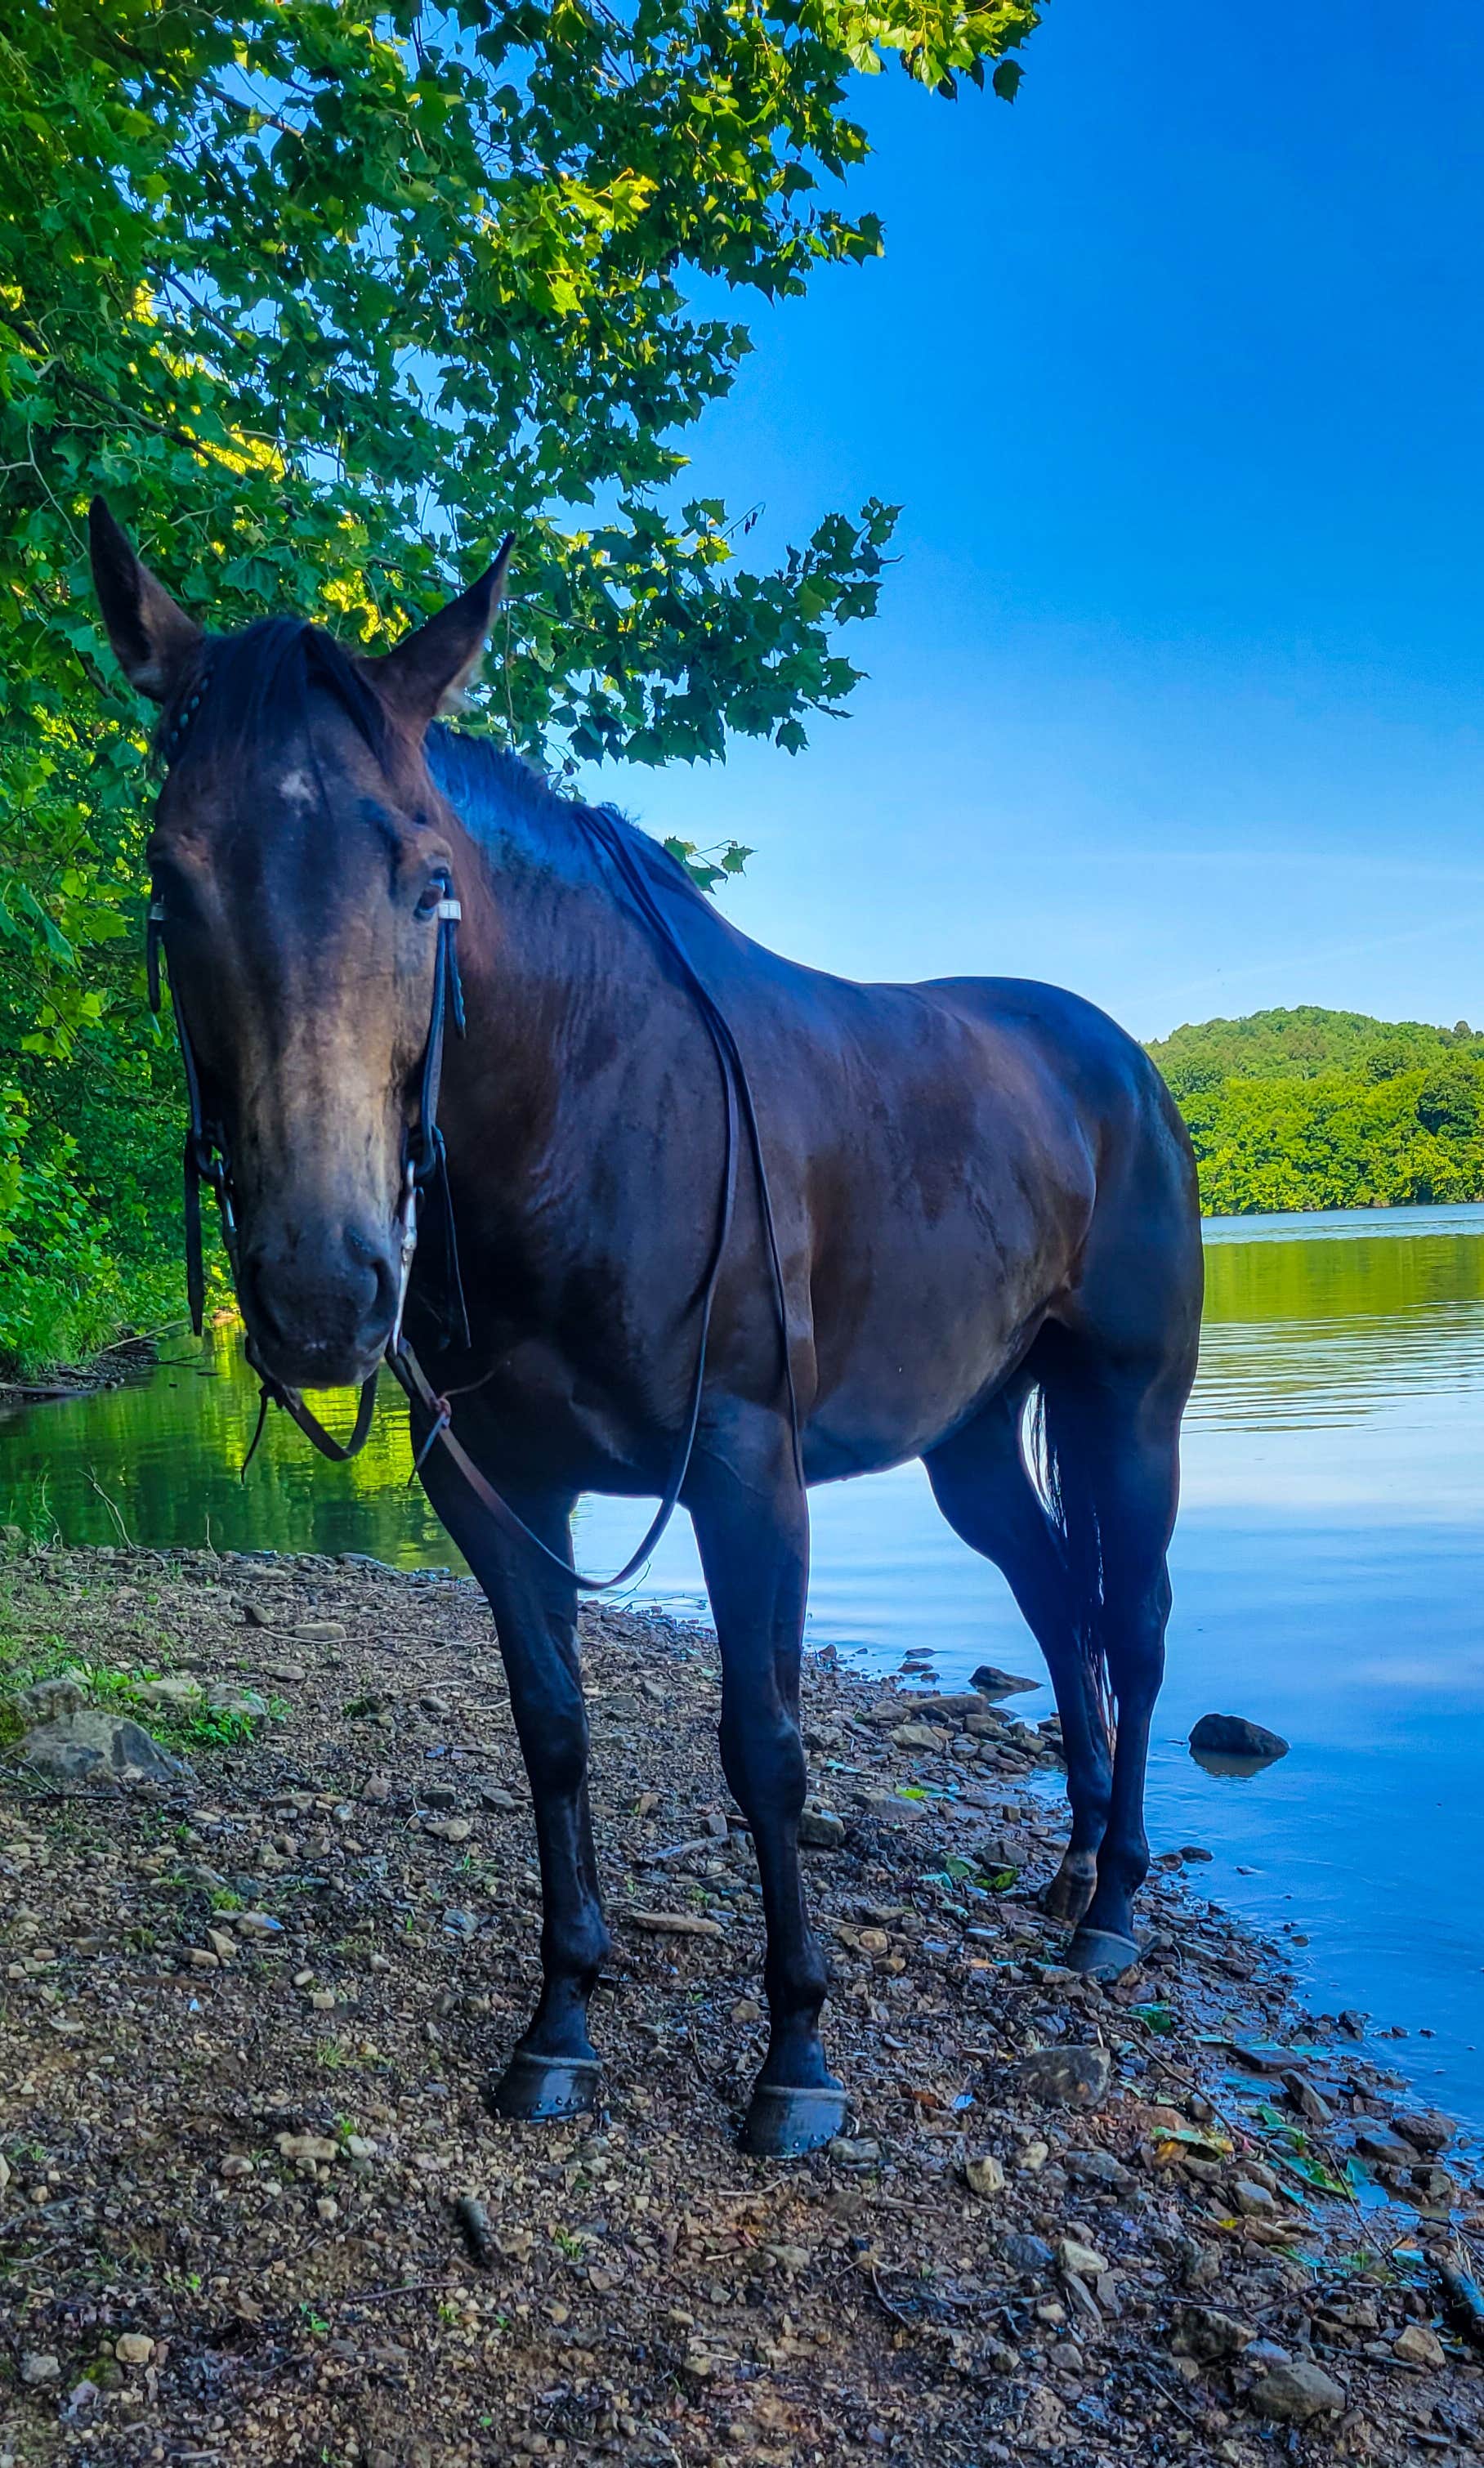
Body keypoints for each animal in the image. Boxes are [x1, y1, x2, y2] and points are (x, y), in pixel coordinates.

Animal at [89, 498, 1203, 2156]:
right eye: (172, 874)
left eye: (425, 874)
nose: (319, 1291)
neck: (593, 1106)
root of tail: (1120, 1060)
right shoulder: (492, 1486)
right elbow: (552, 1729)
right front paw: (559, 2024)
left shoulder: (748, 1472)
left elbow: (765, 1750)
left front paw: (796, 2060)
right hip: (971, 1439)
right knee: (1057, 1602)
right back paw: (1066, 1872)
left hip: (1130, 1411)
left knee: (1130, 1622)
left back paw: (1113, 1909)